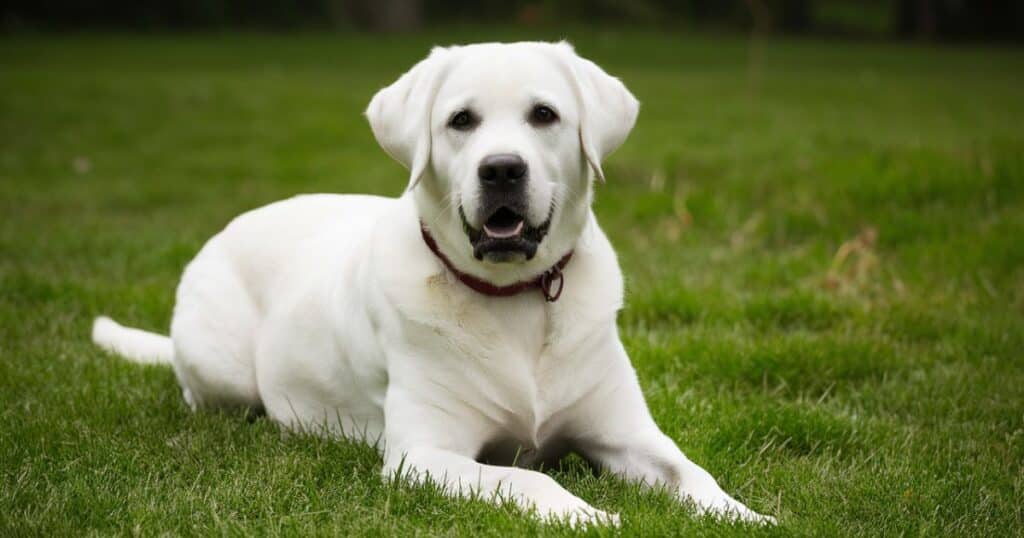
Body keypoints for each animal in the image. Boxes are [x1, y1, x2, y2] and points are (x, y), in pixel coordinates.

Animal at [90, 40, 774, 524]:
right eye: (461, 120)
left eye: (544, 115)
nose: (502, 169)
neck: (515, 295)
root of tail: (225, 229)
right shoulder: (421, 456)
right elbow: (526, 476)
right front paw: (588, 514)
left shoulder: (630, 434)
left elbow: (694, 475)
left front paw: (748, 515)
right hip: (223, 374)